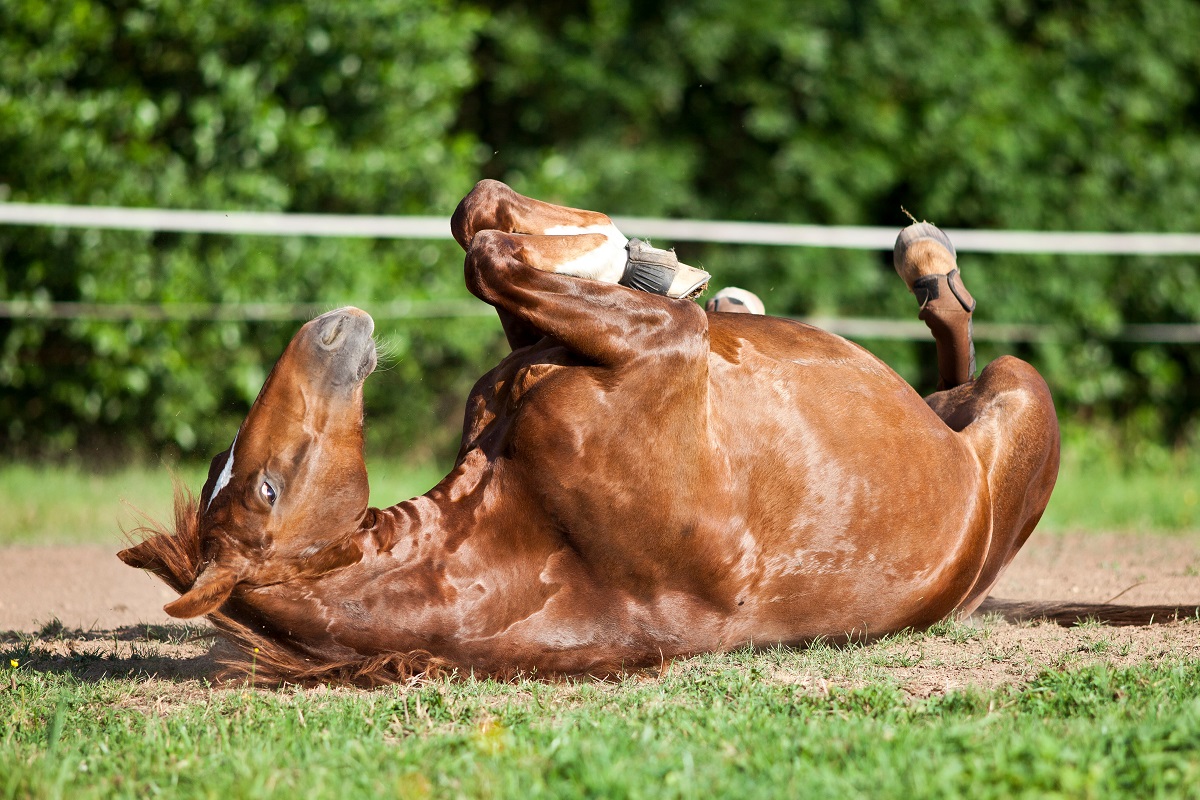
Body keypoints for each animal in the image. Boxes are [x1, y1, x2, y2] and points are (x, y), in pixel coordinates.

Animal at [121, 183, 1060, 690]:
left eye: (238, 474)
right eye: (266, 489)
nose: (330, 330)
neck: (529, 532)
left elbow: (479, 227)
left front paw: (640, 256)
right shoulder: (660, 347)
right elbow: (492, 257)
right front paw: (635, 258)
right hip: (1020, 393)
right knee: (965, 357)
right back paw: (927, 262)